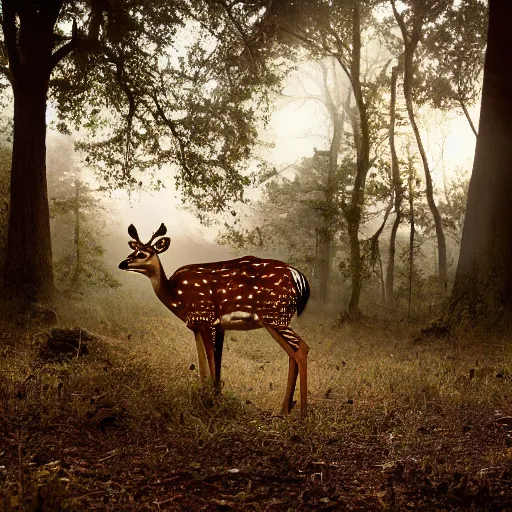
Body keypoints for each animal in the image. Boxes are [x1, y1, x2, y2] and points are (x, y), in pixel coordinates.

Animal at [119, 223, 312, 416]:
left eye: (143, 254)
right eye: (133, 250)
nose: (122, 263)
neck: (176, 297)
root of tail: (298, 277)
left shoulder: (207, 318)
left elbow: (211, 363)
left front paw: (212, 402)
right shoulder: (200, 324)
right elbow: (205, 364)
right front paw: (207, 397)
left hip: (275, 315)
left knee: (301, 348)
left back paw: (302, 413)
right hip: (278, 317)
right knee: (293, 352)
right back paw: (285, 409)